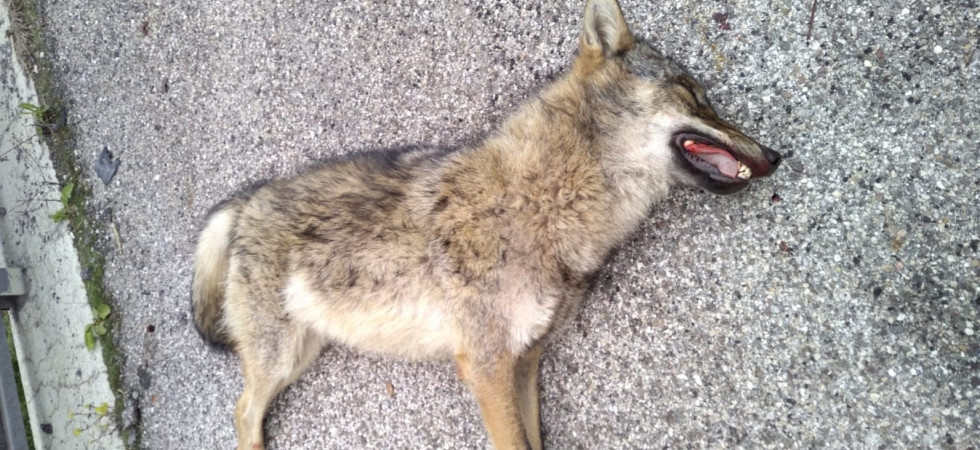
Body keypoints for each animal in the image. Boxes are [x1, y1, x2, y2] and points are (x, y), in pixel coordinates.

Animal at [192, 0, 781, 448]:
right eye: (694, 94)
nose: (777, 155)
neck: (546, 198)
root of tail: (247, 199)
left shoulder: (524, 363)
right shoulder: (487, 366)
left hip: (302, 352)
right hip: (279, 359)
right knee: (243, 412)